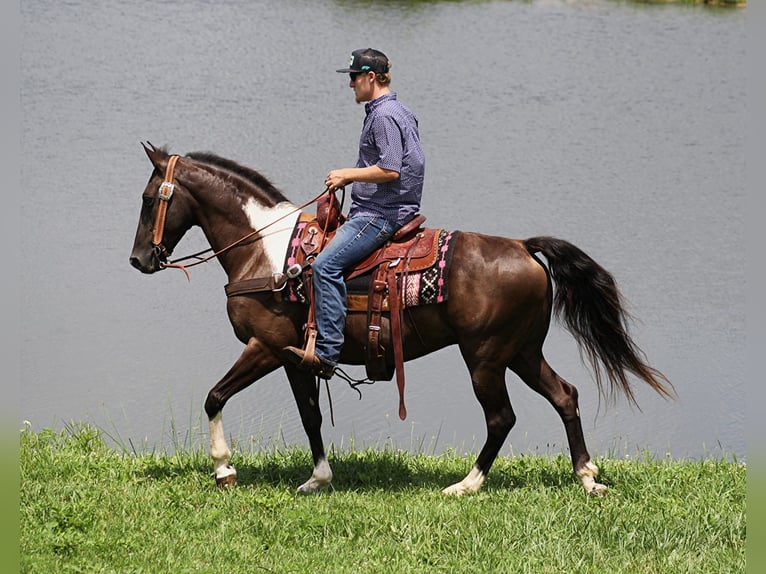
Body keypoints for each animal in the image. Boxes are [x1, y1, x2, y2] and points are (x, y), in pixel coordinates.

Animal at [132, 143, 680, 496]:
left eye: (148, 198)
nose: (139, 260)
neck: (266, 253)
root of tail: (525, 247)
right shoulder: (295, 358)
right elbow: (310, 417)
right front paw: (318, 478)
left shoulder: (264, 347)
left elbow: (214, 396)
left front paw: (224, 471)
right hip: (523, 352)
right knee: (565, 395)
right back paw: (586, 478)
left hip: (485, 357)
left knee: (501, 417)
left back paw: (466, 485)